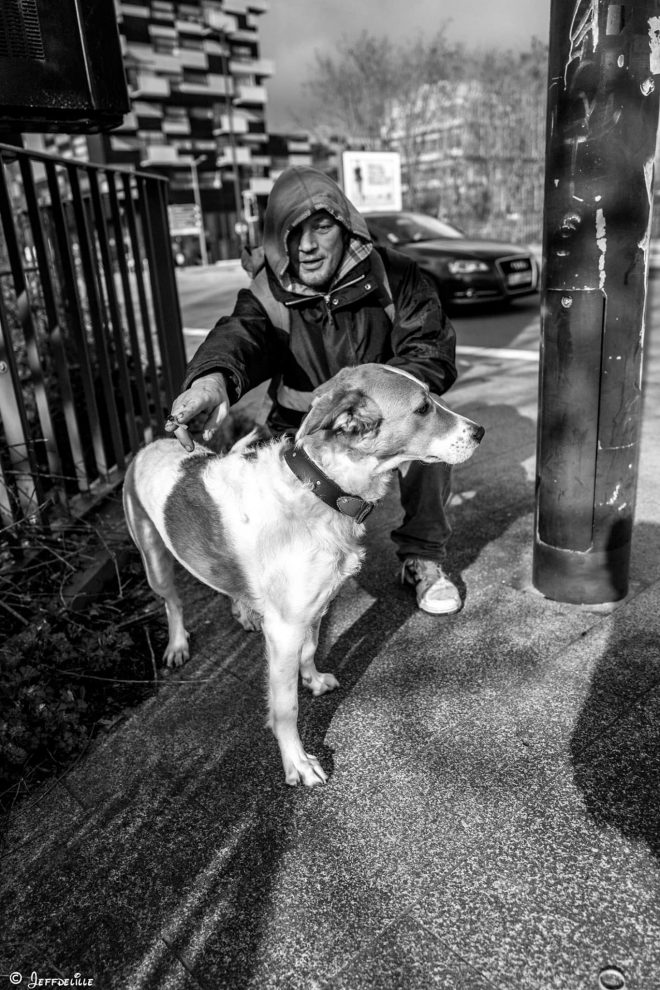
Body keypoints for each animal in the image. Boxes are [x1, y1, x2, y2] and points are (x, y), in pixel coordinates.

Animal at [125, 364, 484, 792]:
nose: (480, 431)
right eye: (423, 407)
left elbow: (310, 650)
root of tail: (150, 445)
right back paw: (178, 643)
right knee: (173, 602)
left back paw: (244, 611)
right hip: (154, 561)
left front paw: (311, 679)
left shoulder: (315, 607)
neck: (320, 489)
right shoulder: (284, 629)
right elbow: (286, 707)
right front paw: (296, 761)